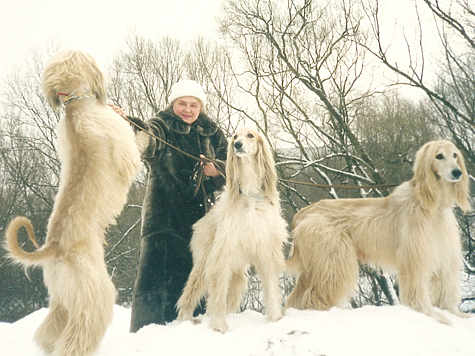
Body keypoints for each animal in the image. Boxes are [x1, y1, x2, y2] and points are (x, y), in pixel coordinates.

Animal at [4, 50, 145, 356]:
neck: (75, 105)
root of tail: (54, 248)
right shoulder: (125, 151)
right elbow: (135, 150)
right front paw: (142, 130)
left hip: (62, 294)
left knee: (50, 330)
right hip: (94, 290)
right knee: (79, 332)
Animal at [177, 127, 288, 334]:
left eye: (250, 135)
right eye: (235, 136)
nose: (237, 145)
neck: (251, 196)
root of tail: (202, 221)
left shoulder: (266, 248)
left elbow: (271, 288)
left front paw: (275, 318)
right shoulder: (222, 254)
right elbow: (218, 294)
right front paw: (218, 325)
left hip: (237, 269)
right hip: (205, 260)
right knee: (190, 292)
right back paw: (184, 320)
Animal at [286, 140, 472, 324]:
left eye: (455, 155)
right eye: (439, 156)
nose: (457, 172)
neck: (431, 204)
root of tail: (303, 213)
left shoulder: (443, 253)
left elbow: (445, 286)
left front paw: (453, 313)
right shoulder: (414, 256)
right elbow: (417, 291)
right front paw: (433, 315)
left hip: (316, 263)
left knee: (296, 297)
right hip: (333, 260)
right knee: (315, 296)